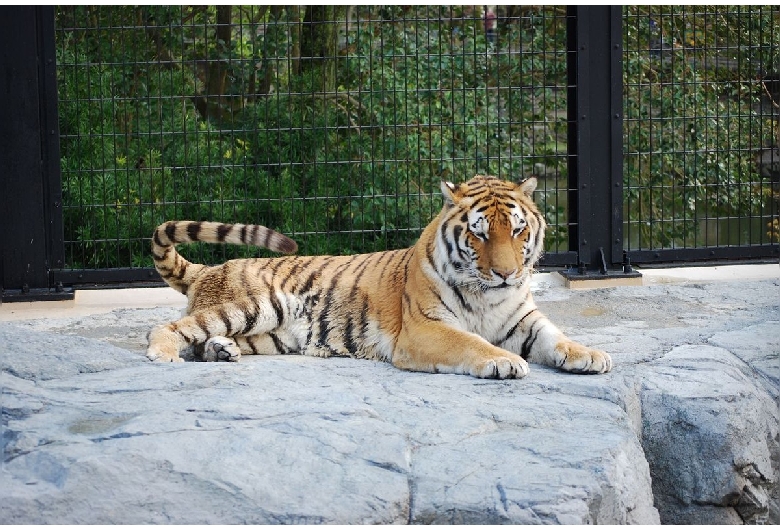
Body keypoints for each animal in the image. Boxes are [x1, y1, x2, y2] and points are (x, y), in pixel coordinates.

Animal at [145, 175, 608, 378]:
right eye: (479, 234)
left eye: (517, 230)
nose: (506, 273)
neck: (487, 294)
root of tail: (209, 267)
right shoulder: (425, 329)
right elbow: (471, 343)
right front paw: (504, 361)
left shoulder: (524, 320)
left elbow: (557, 337)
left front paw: (589, 355)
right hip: (260, 304)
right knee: (171, 326)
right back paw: (163, 354)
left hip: (272, 334)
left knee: (208, 340)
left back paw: (222, 352)